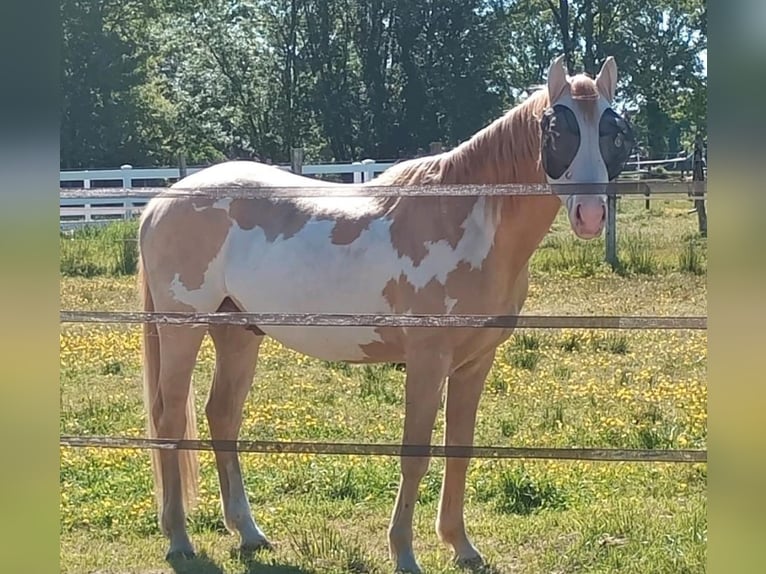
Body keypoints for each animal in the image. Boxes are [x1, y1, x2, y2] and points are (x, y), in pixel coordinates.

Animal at [137, 55, 634, 572]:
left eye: (614, 131)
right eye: (557, 130)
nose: (591, 215)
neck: (467, 220)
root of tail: (160, 203)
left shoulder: (475, 363)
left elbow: (460, 448)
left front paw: (461, 546)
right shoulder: (427, 360)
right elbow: (415, 453)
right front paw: (405, 553)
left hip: (237, 334)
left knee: (222, 417)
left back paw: (249, 532)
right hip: (183, 330)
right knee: (170, 420)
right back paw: (179, 539)